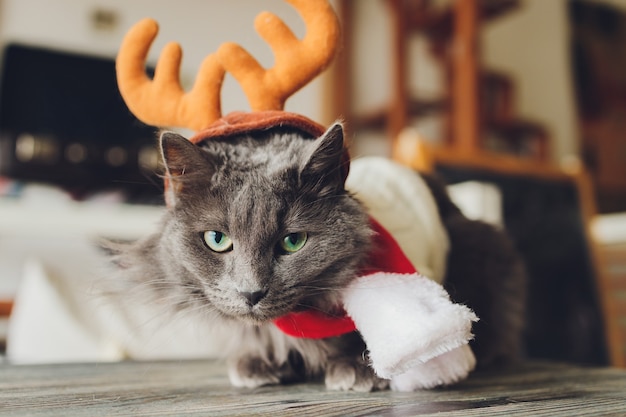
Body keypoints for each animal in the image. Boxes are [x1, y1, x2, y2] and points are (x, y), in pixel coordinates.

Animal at [105, 122, 524, 390]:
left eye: (293, 241)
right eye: (217, 239)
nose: (251, 292)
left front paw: (355, 370)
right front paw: (255, 364)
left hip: (481, 242)